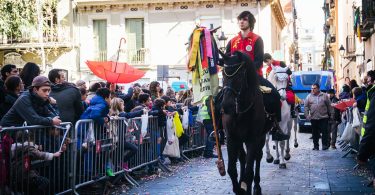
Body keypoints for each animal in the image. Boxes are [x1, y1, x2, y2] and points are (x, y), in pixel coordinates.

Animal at [219, 51, 268, 194]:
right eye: (223, 74)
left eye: (240, 75)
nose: (226, 105)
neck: (240, 112)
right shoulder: (232, 138)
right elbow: (231, 169)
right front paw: (238, 188)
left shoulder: (253, 139)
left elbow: (249, 172)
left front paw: (247, 187)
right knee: (243, 158)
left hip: (261, 137)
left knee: (257, 157)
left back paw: (256, 187)